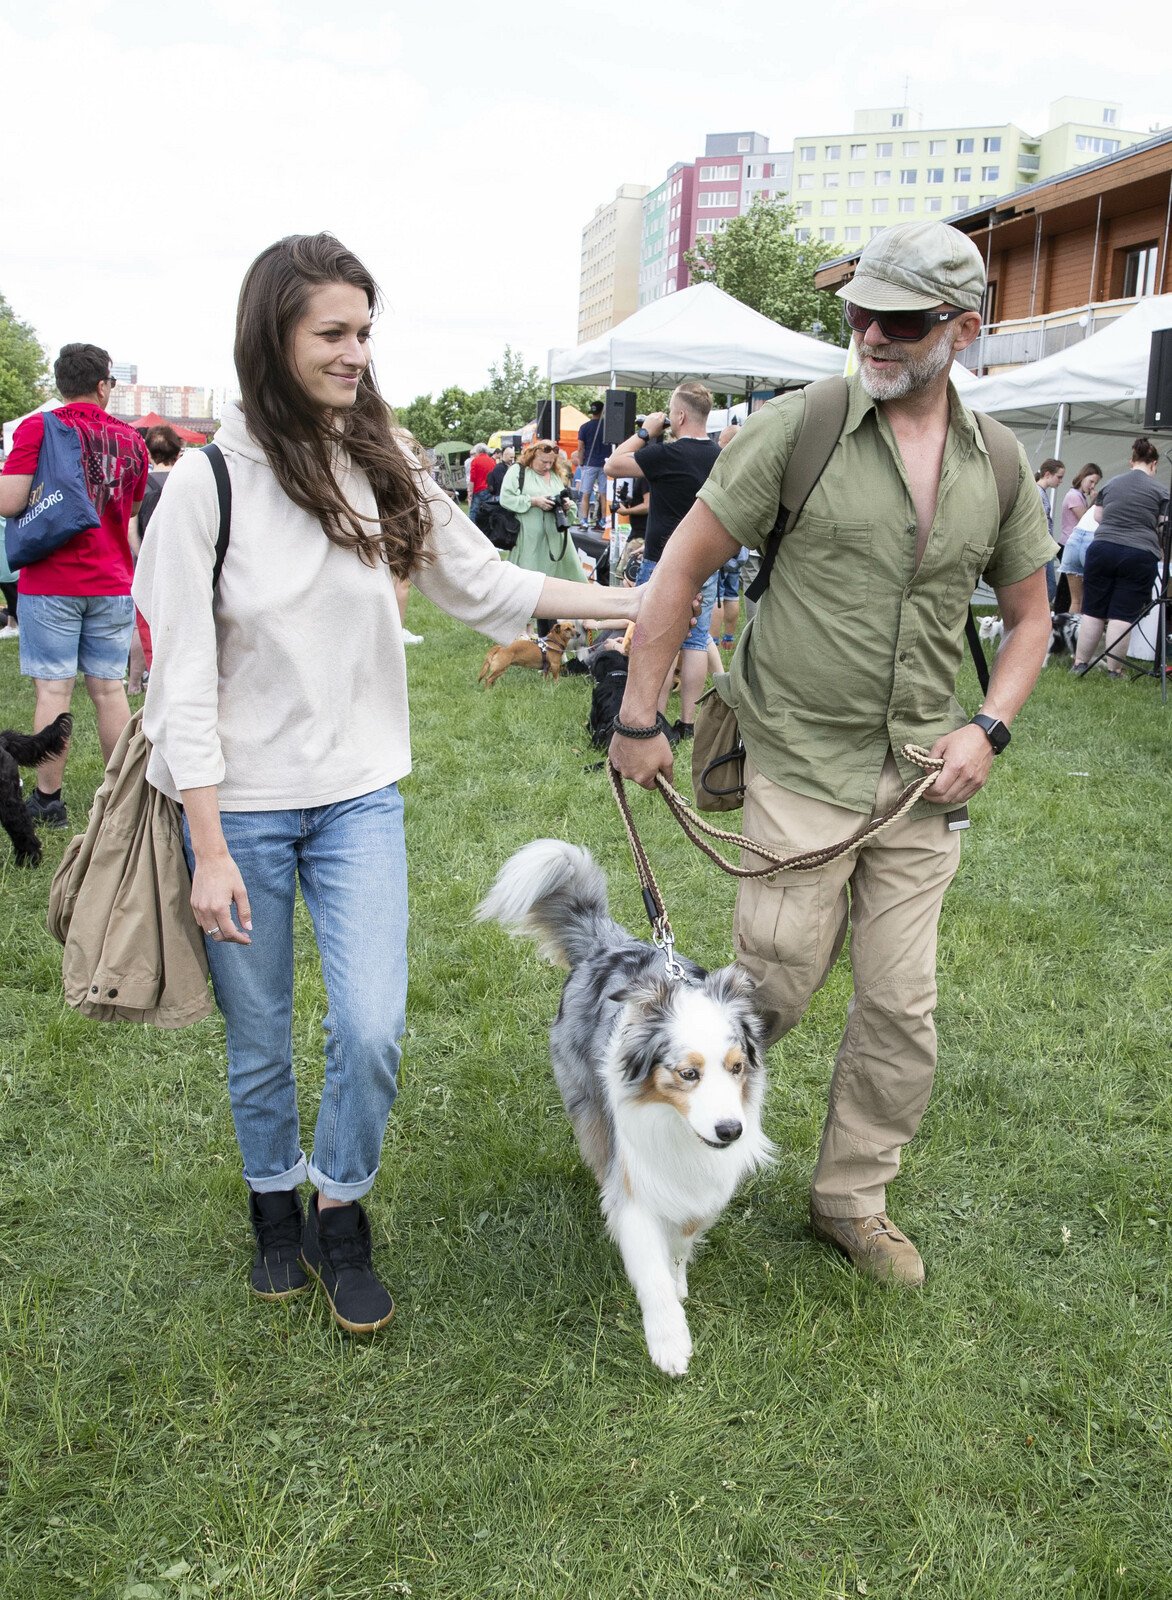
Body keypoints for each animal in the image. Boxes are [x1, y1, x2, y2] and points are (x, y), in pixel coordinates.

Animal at [470, 838, 774, 1376]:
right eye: (687, 1073)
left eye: (737, 1067)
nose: (729, 1131)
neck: (676, 1128)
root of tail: (607, 944)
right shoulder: (632, 1177)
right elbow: (648, 1264)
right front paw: (669, 1342)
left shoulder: (704, 1183)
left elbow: (680, 1241)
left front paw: (679, 1279)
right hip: (588, 1106)